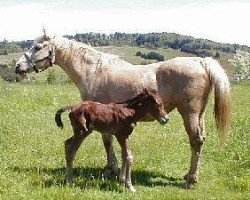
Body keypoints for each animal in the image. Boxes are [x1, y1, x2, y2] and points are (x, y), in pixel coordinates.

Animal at [15, 33, 230, 188]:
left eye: (38, 47)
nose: (18, 67)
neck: (93, 70)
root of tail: (201, 62)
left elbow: (107, 142)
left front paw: (110, 169)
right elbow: (111, 142)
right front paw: (116, 171)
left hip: (189, 113)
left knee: (196, 140)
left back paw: (190, 180)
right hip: (199, 114)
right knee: (201, 139)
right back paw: (189, 175)